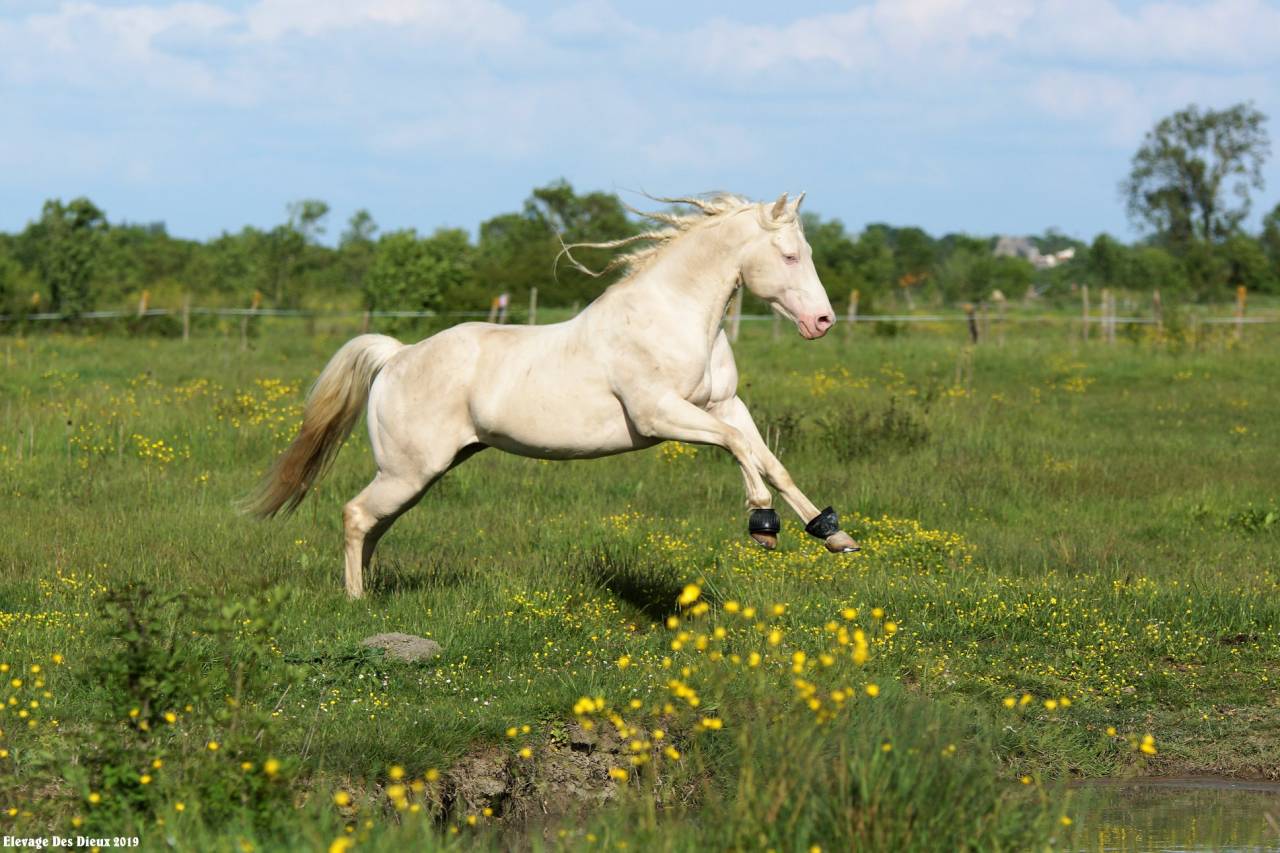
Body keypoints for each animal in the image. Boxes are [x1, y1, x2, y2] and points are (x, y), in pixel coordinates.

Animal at [247, 192, 859, 598]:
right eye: (789, 256)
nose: (823, 321)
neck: (674, 316)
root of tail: (397, 355)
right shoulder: (662, 416)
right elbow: (737, 447)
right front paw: (762, 523)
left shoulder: (723, 405)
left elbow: (769, 460)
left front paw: (831, 534)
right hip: (409, 471)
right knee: (355, 515)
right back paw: (357, 602)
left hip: (418, 475)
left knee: (373, 523)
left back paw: (369, 592)